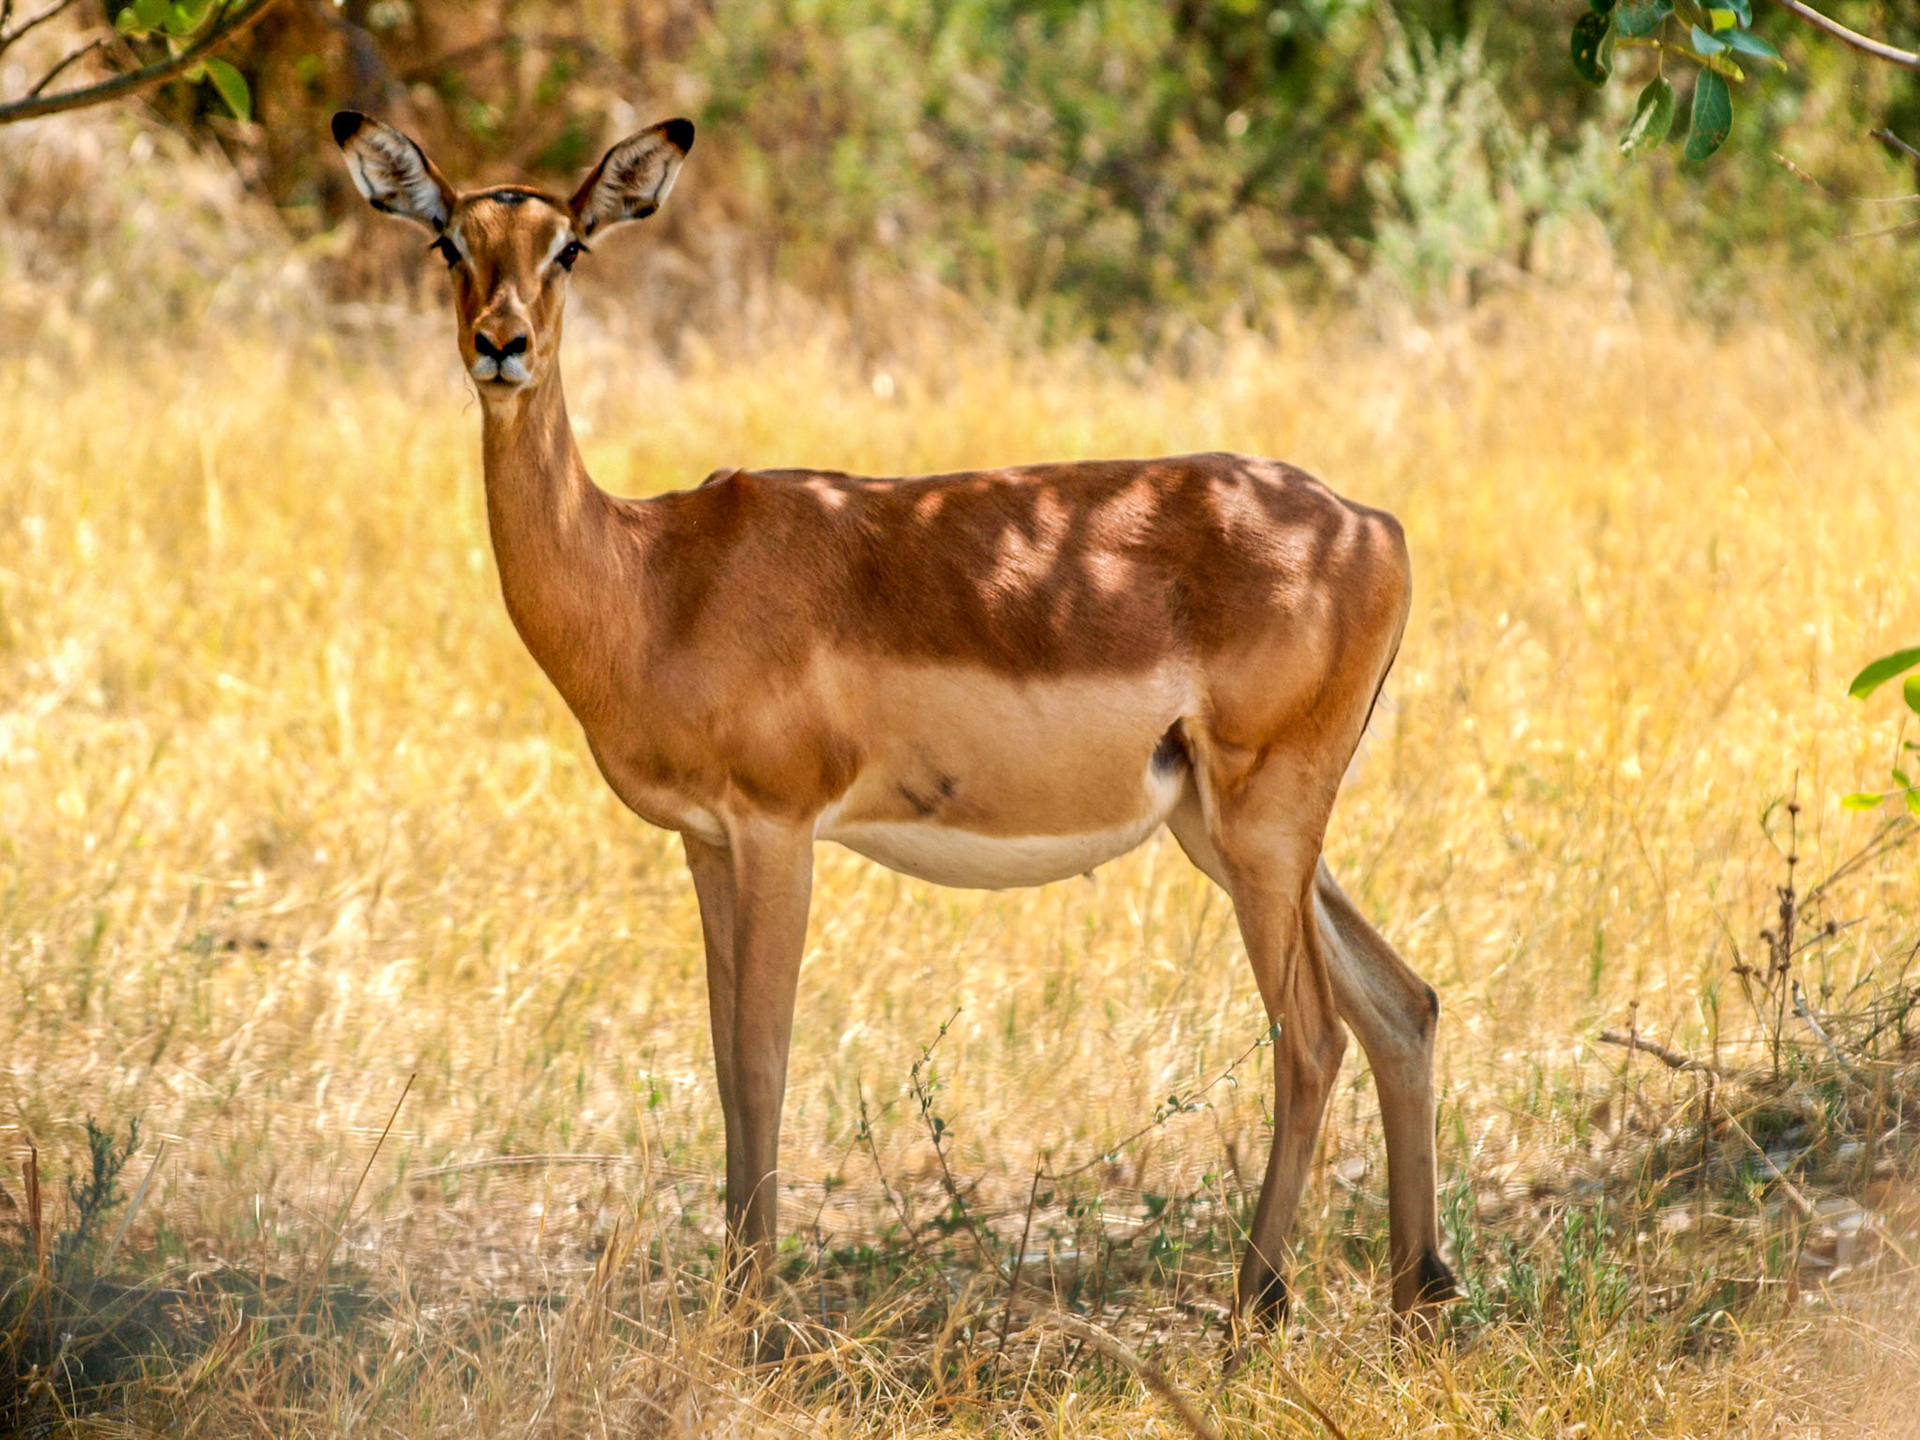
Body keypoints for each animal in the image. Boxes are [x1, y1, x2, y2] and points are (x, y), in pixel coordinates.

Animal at [331, 109, 1458, 1332]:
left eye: (569, 248)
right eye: (448, 241)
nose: (502, 345)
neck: (654, 579)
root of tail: (1376, 526)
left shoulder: (779, 830)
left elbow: (764, 1062)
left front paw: (755, 1325)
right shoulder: (706, 842)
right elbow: (724, 1066)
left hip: (1261, 832)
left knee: (1314, 1038)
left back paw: (1254, 1315)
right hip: (1232, 833)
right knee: (1404, 1004)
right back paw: (1418, 1292)